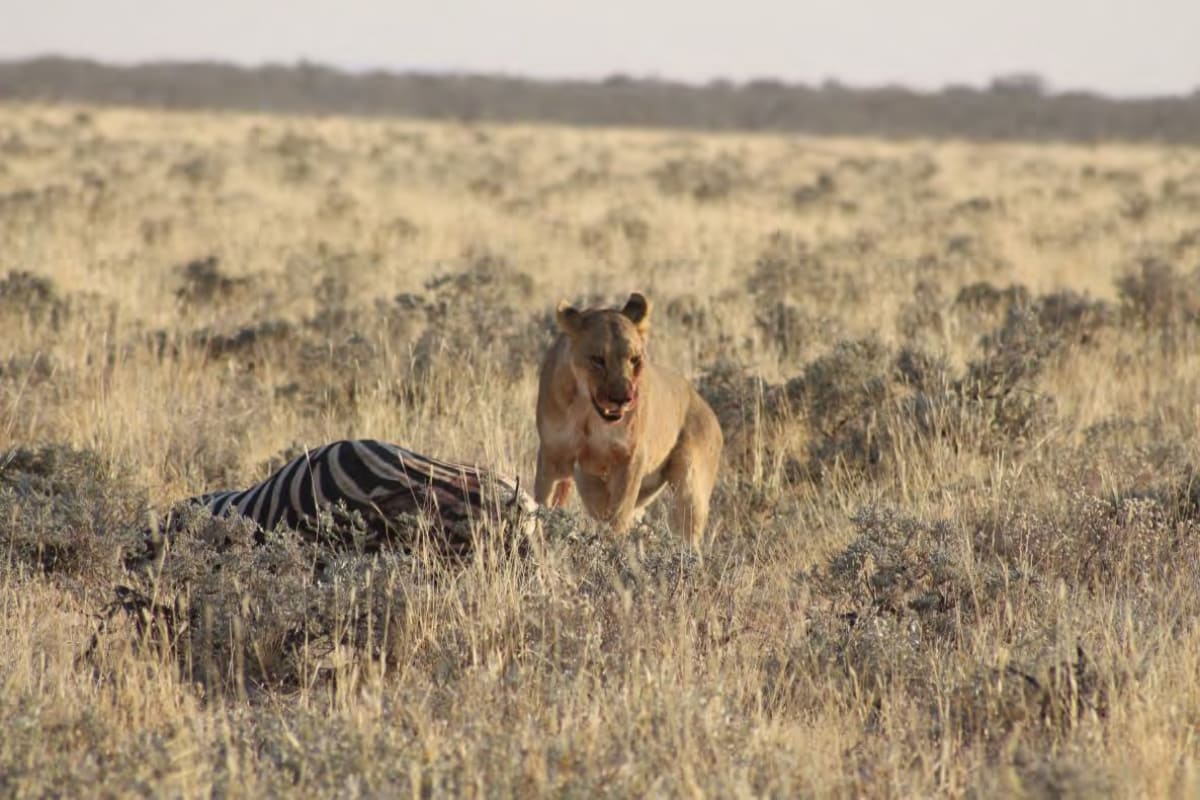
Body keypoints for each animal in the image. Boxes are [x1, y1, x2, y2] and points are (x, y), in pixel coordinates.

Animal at [533, 292, 723, 546]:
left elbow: (619, 515)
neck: (587, 414)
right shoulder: (553, 456)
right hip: (593, 483)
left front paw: (610, 547)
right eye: (597, 359)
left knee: (687, 528)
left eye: (634, 359)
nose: (622, 398)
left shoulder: (630, 459)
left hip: (691, 488)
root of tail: (706, 406)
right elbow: (543, 503)